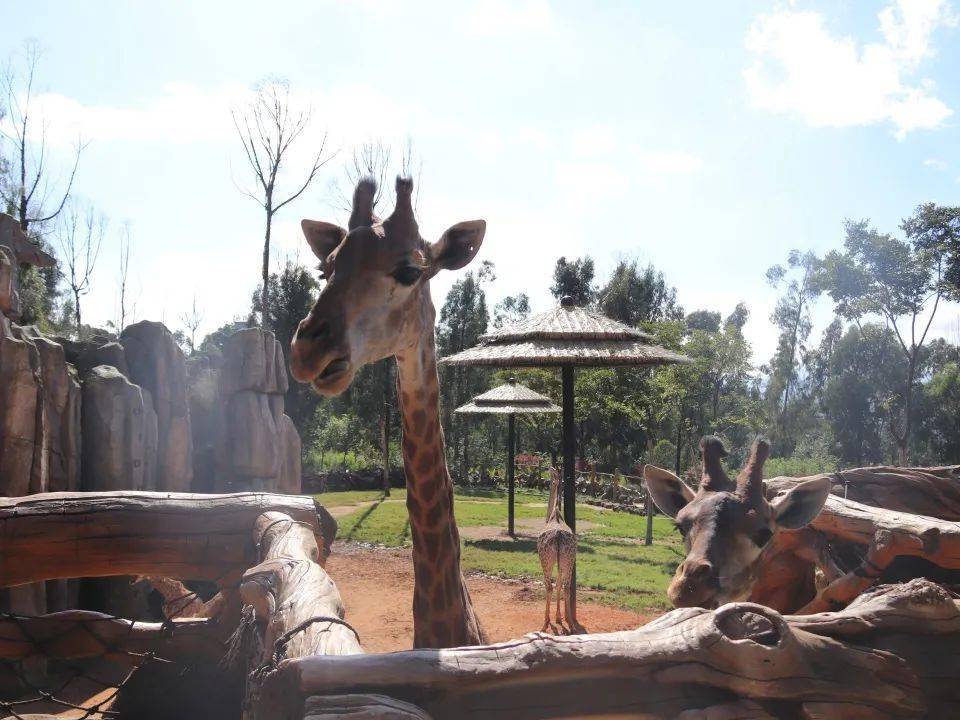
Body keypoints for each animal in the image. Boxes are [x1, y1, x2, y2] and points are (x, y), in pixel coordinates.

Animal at [536, 470, 580, 632]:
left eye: (549, 477)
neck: (553, 515)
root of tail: (559, 535)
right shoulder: (562, 563)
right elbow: (560, 584)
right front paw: (560, 618)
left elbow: (553, 585)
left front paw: (554, 620)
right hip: (569, 559)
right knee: (566, 586)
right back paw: (572, 625)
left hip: (546, 560)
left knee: (549, 586)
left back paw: (545, 623)